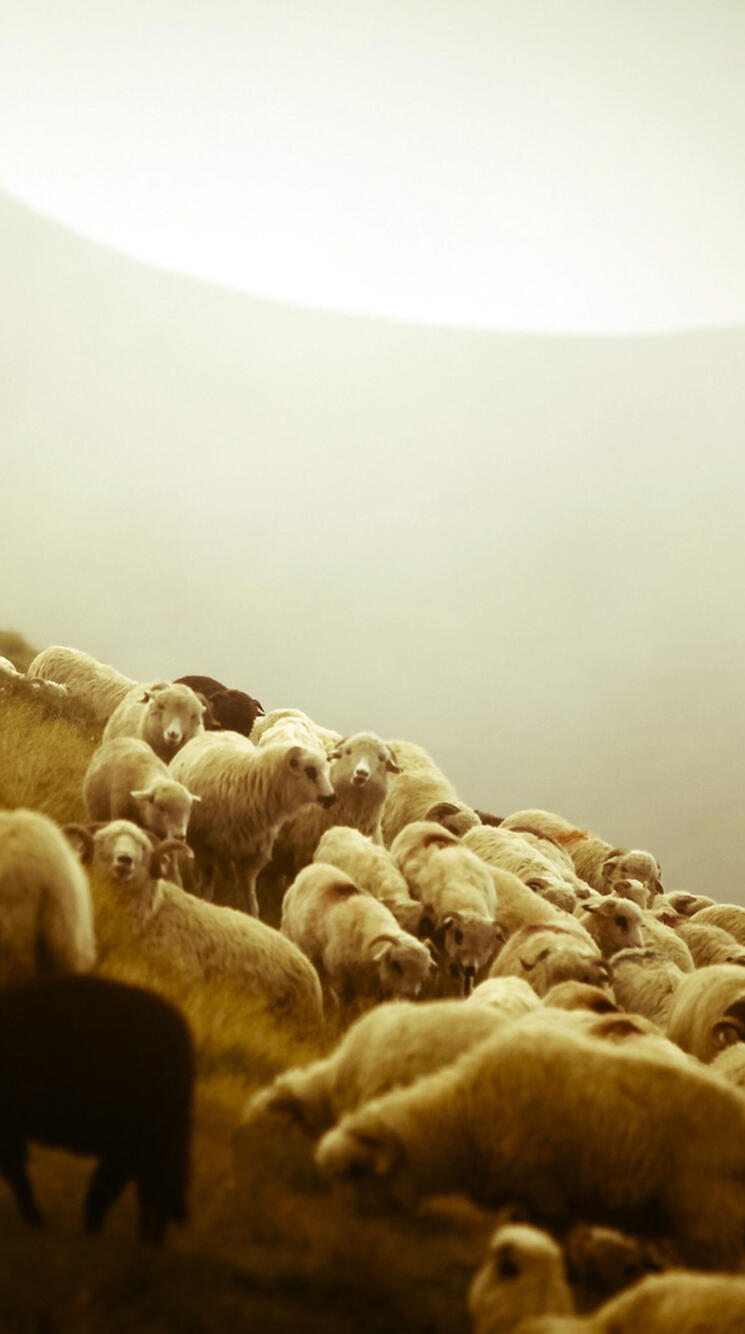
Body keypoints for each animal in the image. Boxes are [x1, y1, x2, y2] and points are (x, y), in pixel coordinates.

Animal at [0, 974, 192, 1243]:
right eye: (180, 1173)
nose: (183, 1216)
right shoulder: (125, 1153)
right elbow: (102, 1192)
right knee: (16, 1169)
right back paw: (37, 1219)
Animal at [170, 732, 336, 916]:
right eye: (310, 771)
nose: (332, 798)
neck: (252, 785)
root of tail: (217, 732)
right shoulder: (205, 849)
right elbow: (207, 888)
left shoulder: (253, 856)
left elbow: (250, 896)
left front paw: (250, 913)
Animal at [390, 821, 502, 989]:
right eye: (459, 936)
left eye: (487, 943)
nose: (471, 968)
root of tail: (421, 823)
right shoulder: (442, 942)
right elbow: (452, 970)